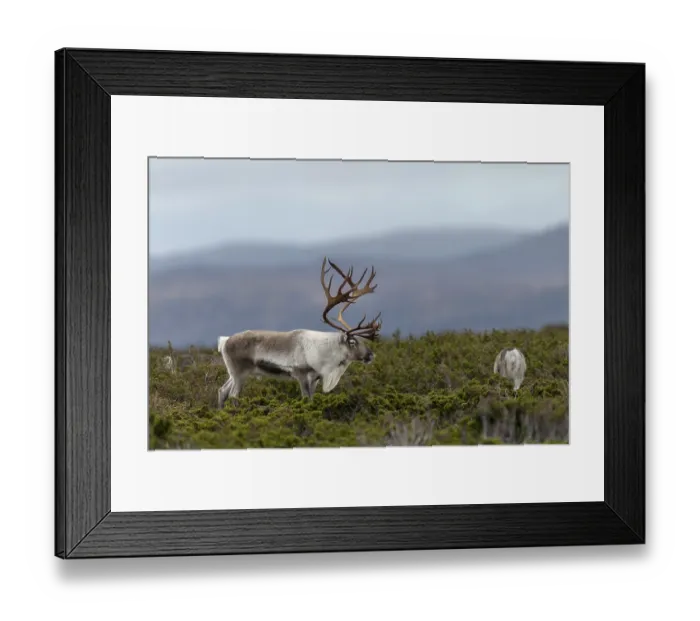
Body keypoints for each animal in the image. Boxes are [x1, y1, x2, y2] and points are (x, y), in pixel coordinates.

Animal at [216, 257, 382, 409]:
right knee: (233, 395)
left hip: (234, 373)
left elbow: (312, 399)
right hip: (240, 373)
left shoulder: (315, 379)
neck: (324, 351)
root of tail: (225, 341)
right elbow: (305, 399)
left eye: (363, 340)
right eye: (353, 342)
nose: (371, 355)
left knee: (222, 391)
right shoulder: (301, 375)